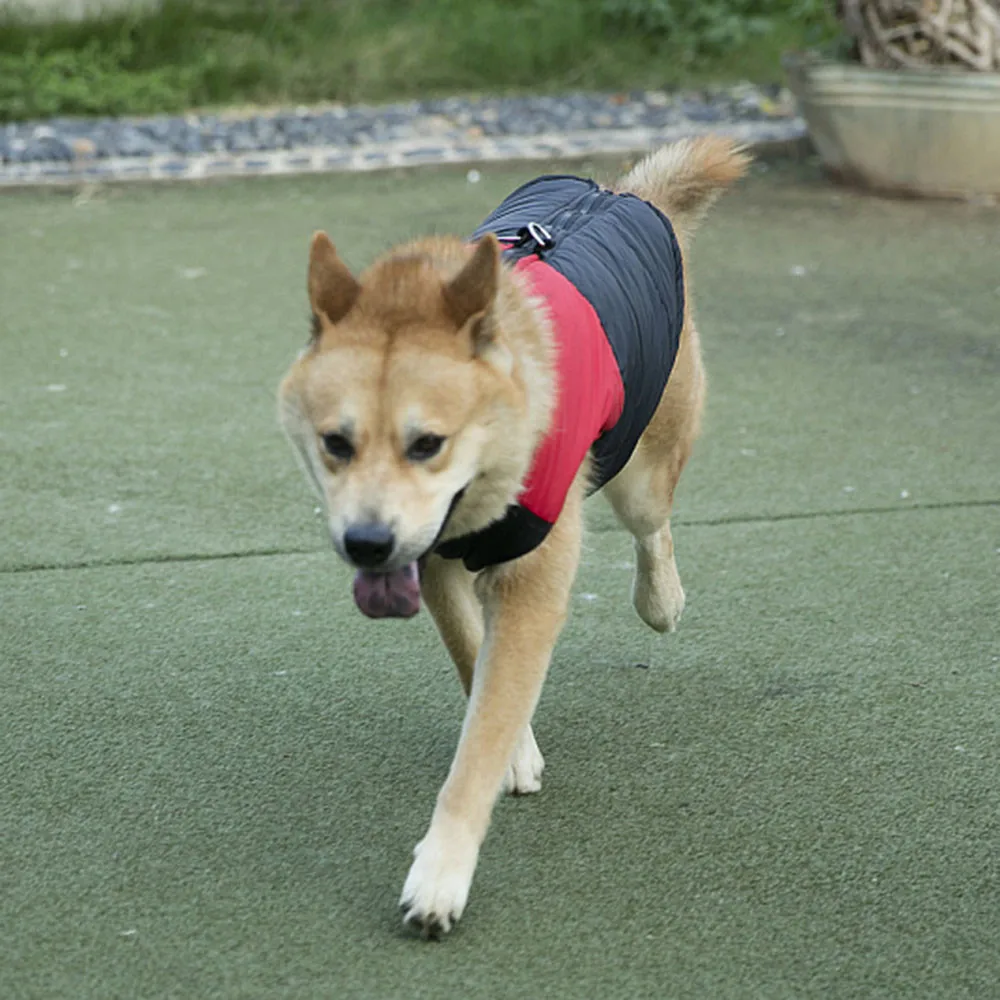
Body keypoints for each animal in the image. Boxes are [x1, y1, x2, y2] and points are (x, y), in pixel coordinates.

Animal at [280, 135, 752, 936]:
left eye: (427, 444)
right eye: (335, 443)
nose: (367, 543)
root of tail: (624, 194)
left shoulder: (534, 578)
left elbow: (483, 728)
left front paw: (441, 873)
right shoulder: (435, 564)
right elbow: (477, 665)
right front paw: (516, 752)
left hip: (639, 471)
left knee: (653, 526)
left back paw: (662, 600)